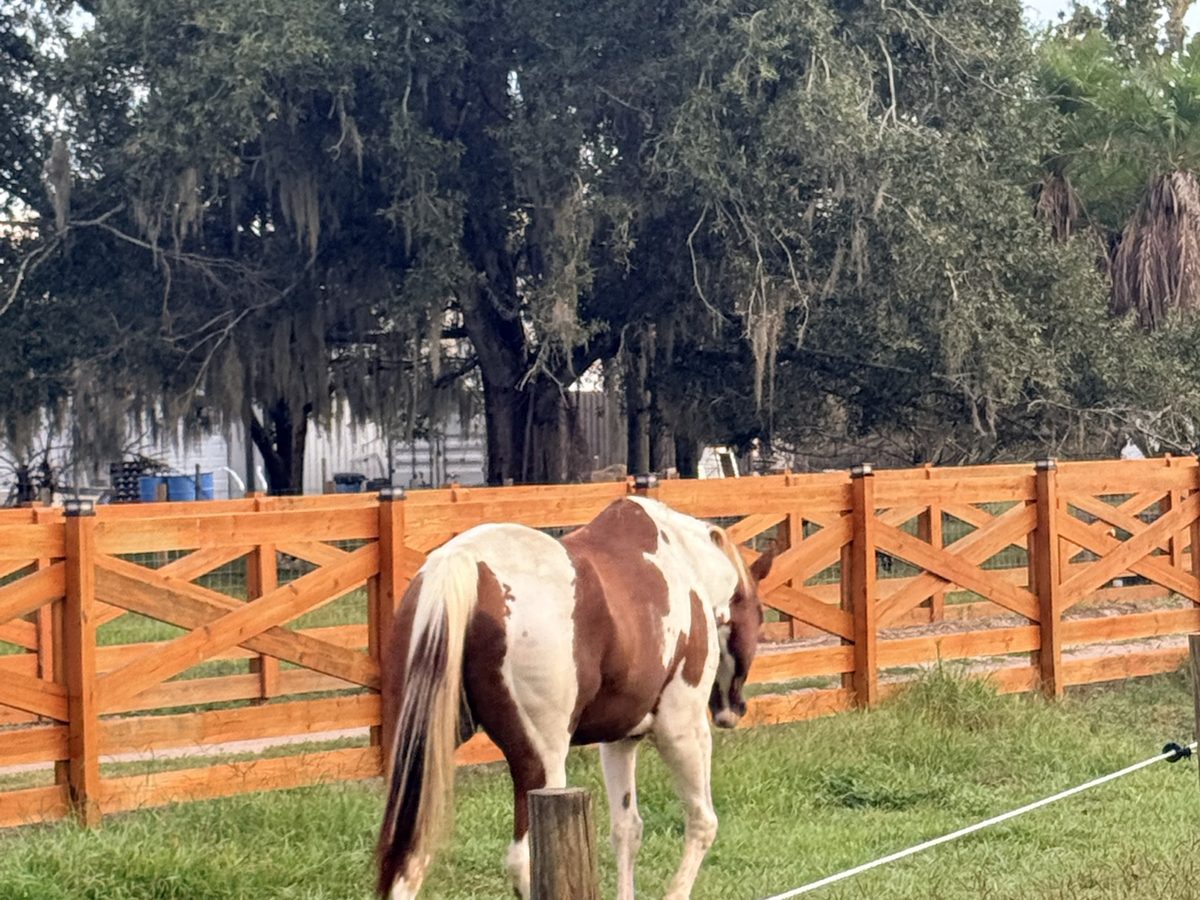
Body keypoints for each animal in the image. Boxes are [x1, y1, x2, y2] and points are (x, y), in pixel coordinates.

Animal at [376, 495, 773, 899]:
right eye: (759, 613)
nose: (732, 710)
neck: (683, 563)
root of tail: (467, 565)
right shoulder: (682, 729)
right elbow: (702, 822)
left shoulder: (620, 740)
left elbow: (627, 829)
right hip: (542, 762)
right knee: (523, 860)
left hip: (420, 759)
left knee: (408, 864)